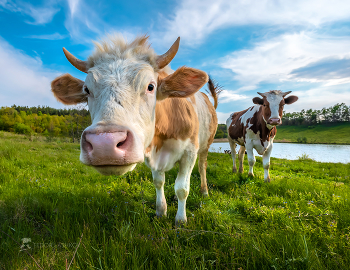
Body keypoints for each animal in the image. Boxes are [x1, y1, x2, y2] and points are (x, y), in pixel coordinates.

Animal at [50, 34, 220, 225]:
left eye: (151, 86)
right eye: (87, 90)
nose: (104, 144)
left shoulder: (190, 151)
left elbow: (182, 187)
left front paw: (180, 220)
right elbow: (159, 182)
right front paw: (161, 211)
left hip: (206, 145)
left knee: (202, 167)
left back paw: (204, 191)